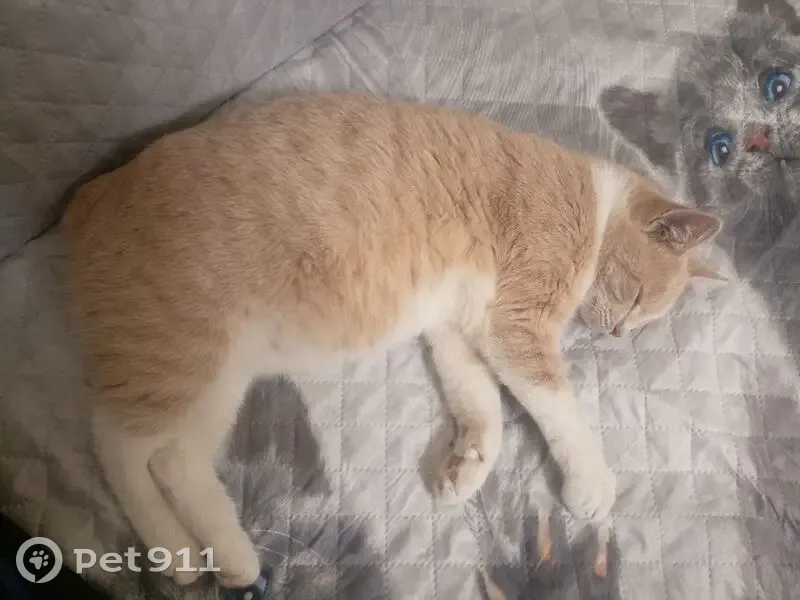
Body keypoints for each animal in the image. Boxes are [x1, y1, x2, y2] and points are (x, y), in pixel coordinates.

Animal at [61, 93, 724, 589]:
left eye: (640, 321)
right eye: (636, 299)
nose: (616, 334)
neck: (593, 204)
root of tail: (96, 190)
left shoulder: (459, 328)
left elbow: (480, 402)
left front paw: (470, 463)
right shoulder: (517, 324)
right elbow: (557, 406)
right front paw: (591, 481)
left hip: (222, 378)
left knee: (174, 461)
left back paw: (221, 557)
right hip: (186, 353)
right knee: (116, 444)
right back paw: (177, 550)